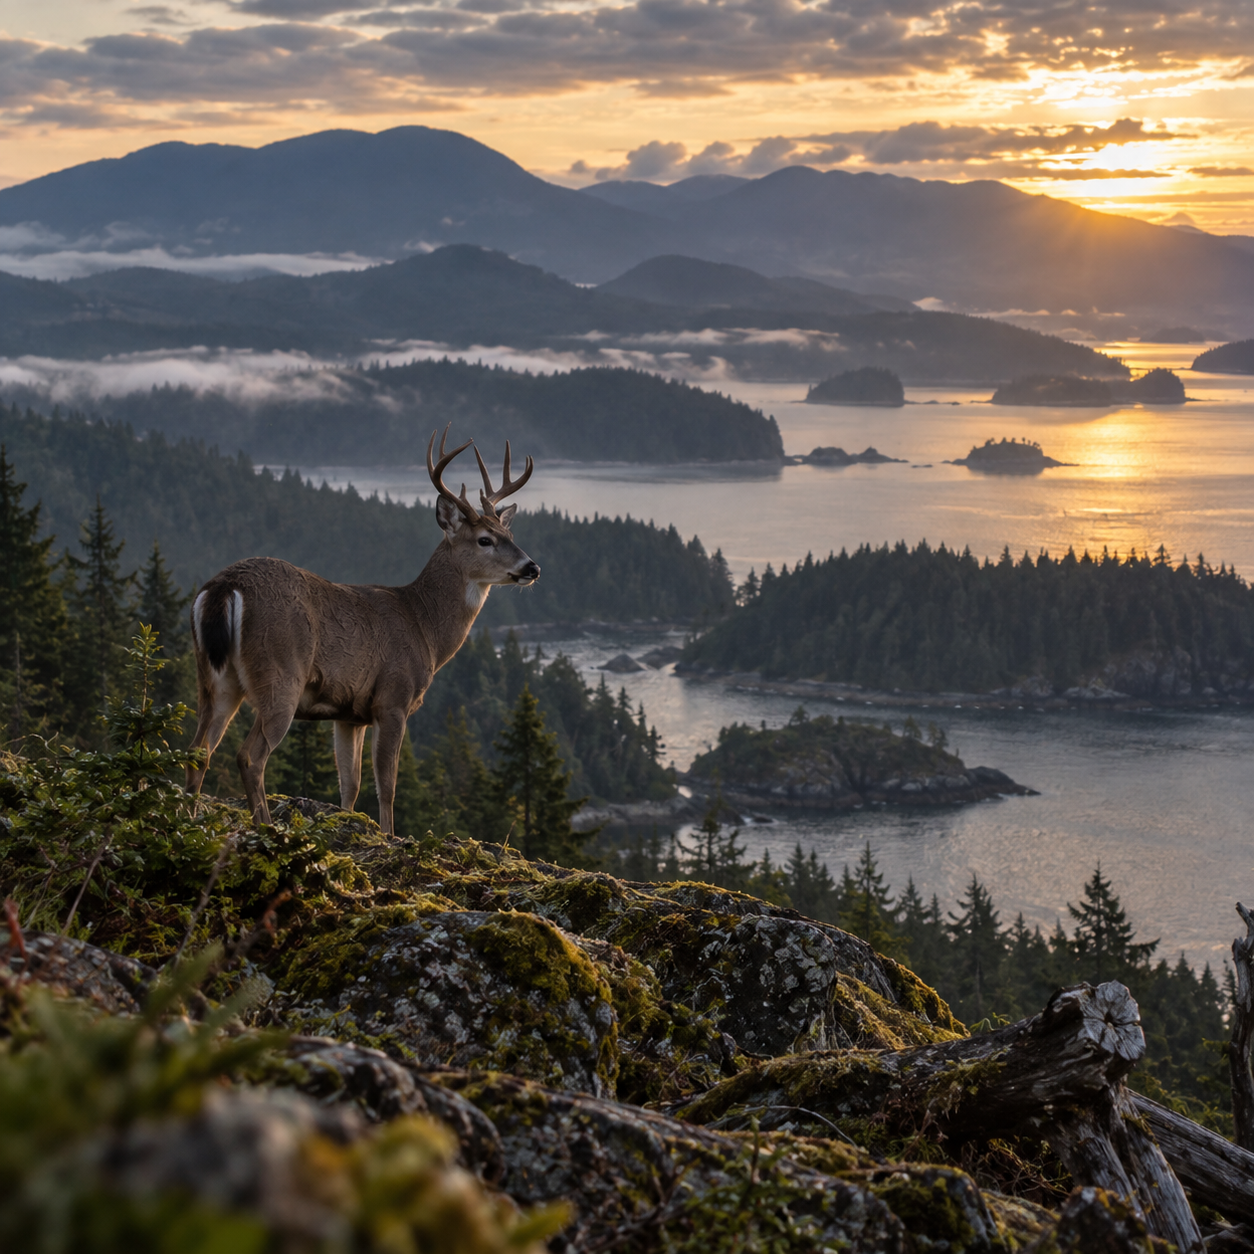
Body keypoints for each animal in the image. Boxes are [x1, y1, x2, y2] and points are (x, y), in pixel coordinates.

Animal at [184, 427, 539, 835]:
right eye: (485, 539)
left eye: (508, 532)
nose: (532, 567)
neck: (425, 629)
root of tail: (224, 587)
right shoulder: (393, 699)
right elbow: (386, 785)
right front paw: (389, 835)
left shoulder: (349, 714)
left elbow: (349, 785)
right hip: (280, 673)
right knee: (249, 756)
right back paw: (265, 826)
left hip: (214, 679)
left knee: (198, 750)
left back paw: (187, 819)